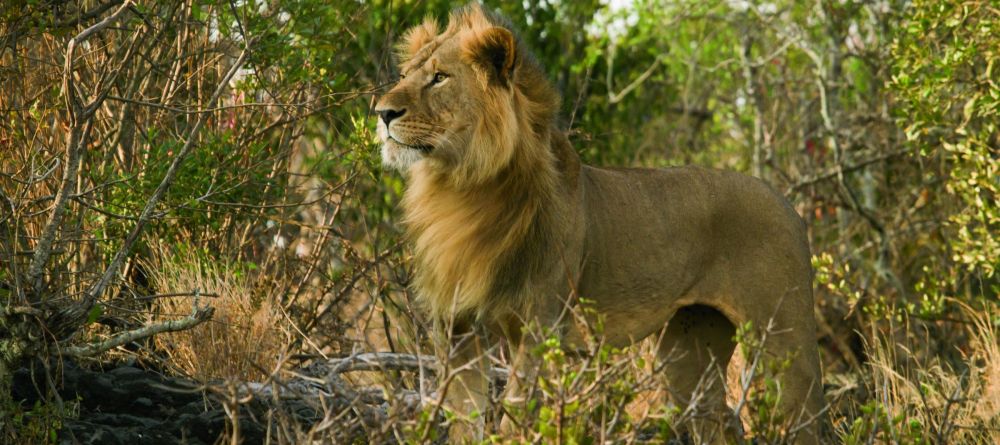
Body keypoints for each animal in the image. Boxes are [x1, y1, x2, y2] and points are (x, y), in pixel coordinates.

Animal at [376, 4, 828, 444]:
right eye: (404, 75)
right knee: (719, 423)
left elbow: (511, 422)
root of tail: (788, 203)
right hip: (689, 350)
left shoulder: (539, 331)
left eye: (440, 77)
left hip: (784, 346)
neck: (461, 187)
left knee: (802, 418)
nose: (381, 113)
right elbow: (464, 420)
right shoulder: (456, 331)